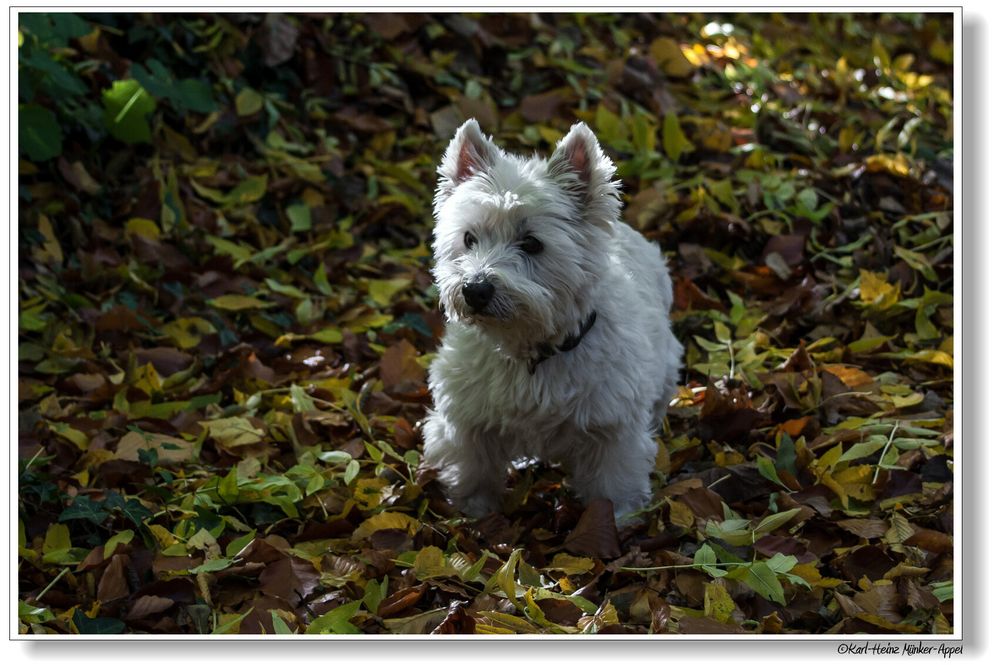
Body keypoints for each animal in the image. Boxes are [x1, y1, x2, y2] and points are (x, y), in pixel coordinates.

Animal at [418, 119, 684, 524]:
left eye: (532, 243)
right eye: (468, 238)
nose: (475, 289)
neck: (531, 348)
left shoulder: (612, 430)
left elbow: (613, 485)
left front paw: (618, 522)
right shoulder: (469, 421)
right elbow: (474, 471)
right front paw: (476, 515)